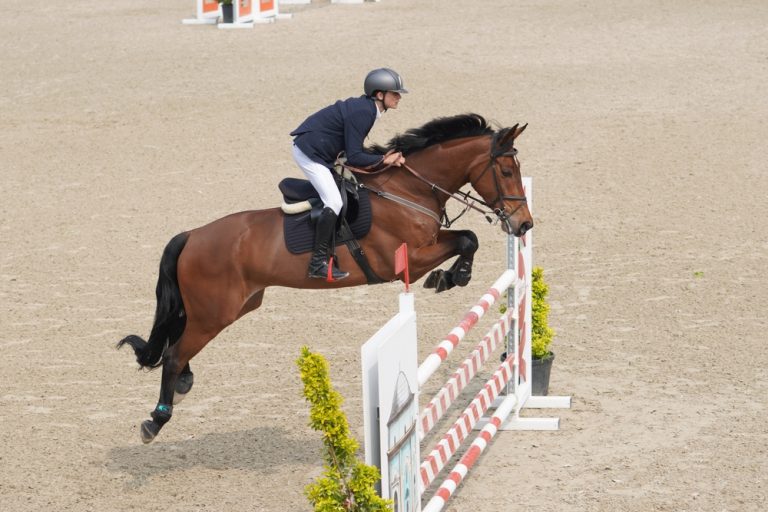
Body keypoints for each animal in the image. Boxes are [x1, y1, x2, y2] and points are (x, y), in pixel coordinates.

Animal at [117, 113, 533, 443]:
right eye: (506, 172)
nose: (524, 225)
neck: (408, 190)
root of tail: (192, 236)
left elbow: (467, 238)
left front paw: (452, 276)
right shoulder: (407, 262)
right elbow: (466, 238)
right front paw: (451, 276)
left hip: (226, 307)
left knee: (177, 342)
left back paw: (182, 385)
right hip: (215, 312)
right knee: (174, 353)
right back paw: (155, 421)